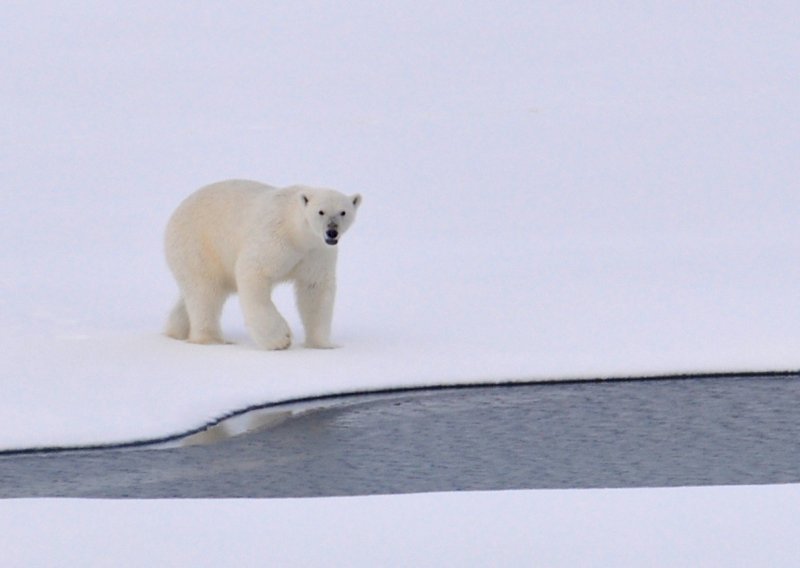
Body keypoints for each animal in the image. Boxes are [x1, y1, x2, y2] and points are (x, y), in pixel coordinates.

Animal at [164, 181, 360, 350]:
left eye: (343, 212)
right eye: (321, 211)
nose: (332, 231)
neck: (297, 233)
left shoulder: (316, 252)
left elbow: (315, 288)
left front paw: (322, 344)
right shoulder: (274, 237)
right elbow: (253, 271)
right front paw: (280, 339)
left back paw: (176, 330)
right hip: (198, 245)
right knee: (205, 292)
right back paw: (212, 339)